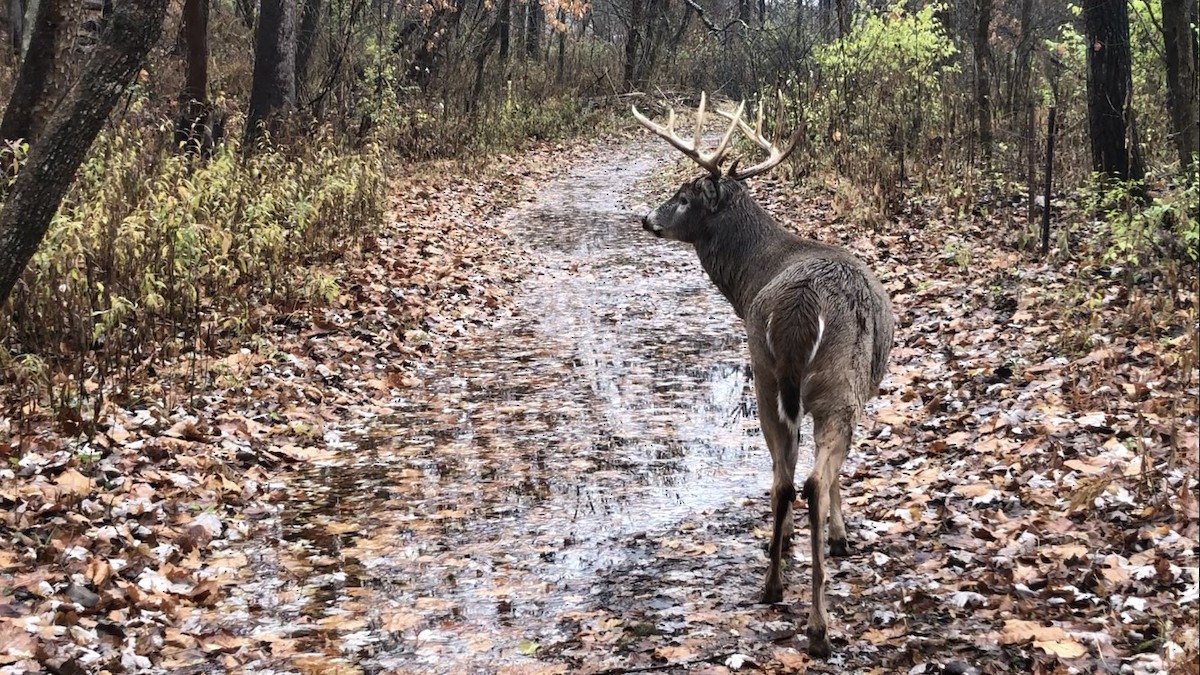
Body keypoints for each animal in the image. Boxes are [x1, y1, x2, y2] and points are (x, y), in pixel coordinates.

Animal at [632, 94, 894, 658]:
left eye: (683, 196)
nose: (646, 219)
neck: (753, 275)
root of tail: (801, 308)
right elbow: (835, 474)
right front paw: (840, 536)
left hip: (770, 375)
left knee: (782, 479)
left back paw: (772, 584)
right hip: (830, 382)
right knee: (811, 479)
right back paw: (818, 625)